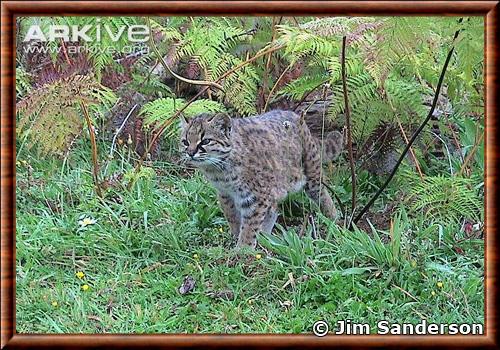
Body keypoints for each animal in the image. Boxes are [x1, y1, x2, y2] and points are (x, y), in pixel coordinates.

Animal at [181, 110, 344, 249]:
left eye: (205, 141)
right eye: (185, 142)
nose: (190, 153)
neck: (219, 170)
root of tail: (296, 116)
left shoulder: (256, 195)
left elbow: (250, 225)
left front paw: (242, 250)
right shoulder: (225, 193)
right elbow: (232, 216)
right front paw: (236, 237)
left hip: (312, 173)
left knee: (322, 194)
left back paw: (334, 219)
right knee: (274, 209)